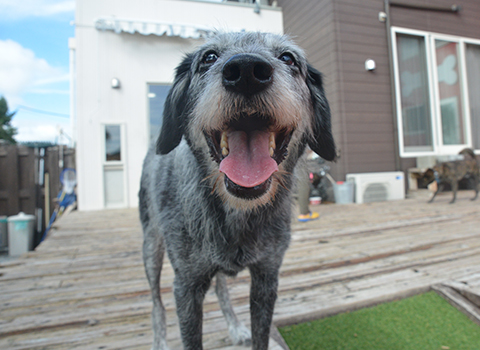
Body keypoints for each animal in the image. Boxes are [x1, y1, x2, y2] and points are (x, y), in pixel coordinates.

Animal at [138, 31, 334, 348]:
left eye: (288, 58)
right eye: (208, 57)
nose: (246, 71)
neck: (237, 213)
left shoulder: (266, 277)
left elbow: (260, 336)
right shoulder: (186, 287)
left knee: (220, 287)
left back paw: (234, 325)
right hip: (151, 248)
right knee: (156, 303)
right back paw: (159, 340)